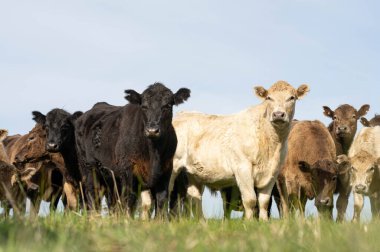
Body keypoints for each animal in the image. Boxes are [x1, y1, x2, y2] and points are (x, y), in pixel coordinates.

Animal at [75, 82, 190, 217]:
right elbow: (129, 201)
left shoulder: (165, 172)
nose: (152, 130)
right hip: (88, 168)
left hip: (110, 177)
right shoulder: (128, 172)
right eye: (144, 106)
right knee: (93, 196)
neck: (153, 154)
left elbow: (161, 202)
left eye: (167, 106)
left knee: (111, 201)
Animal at [168, 80, 308, 220]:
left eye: (292, 98)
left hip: (193, 173)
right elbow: (250, 200)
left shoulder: (273, 172)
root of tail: (181, 115)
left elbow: (264, 201)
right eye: (269, 98)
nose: (278, 114)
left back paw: (202, 221)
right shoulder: (242, 168)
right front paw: (249, 221)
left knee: (194, 197)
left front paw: (264, 221)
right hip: (173, 166)